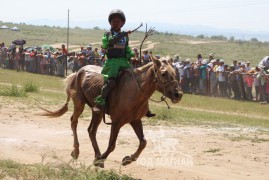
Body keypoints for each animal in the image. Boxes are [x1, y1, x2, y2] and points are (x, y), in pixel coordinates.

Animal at [39, 58, 182, 167]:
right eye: (163, 73)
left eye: (175, 72)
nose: (178, 94)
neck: (135, 91)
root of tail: (78, 72)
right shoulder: (117, 122)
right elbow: (112, 145)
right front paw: (101, 160)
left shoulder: (135, 120)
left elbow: (143, 142)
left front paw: (128, 159)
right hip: (79, 103)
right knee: (74, 122)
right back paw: (77, 151)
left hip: (97, 112)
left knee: (91, 131)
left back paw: (96, 154)